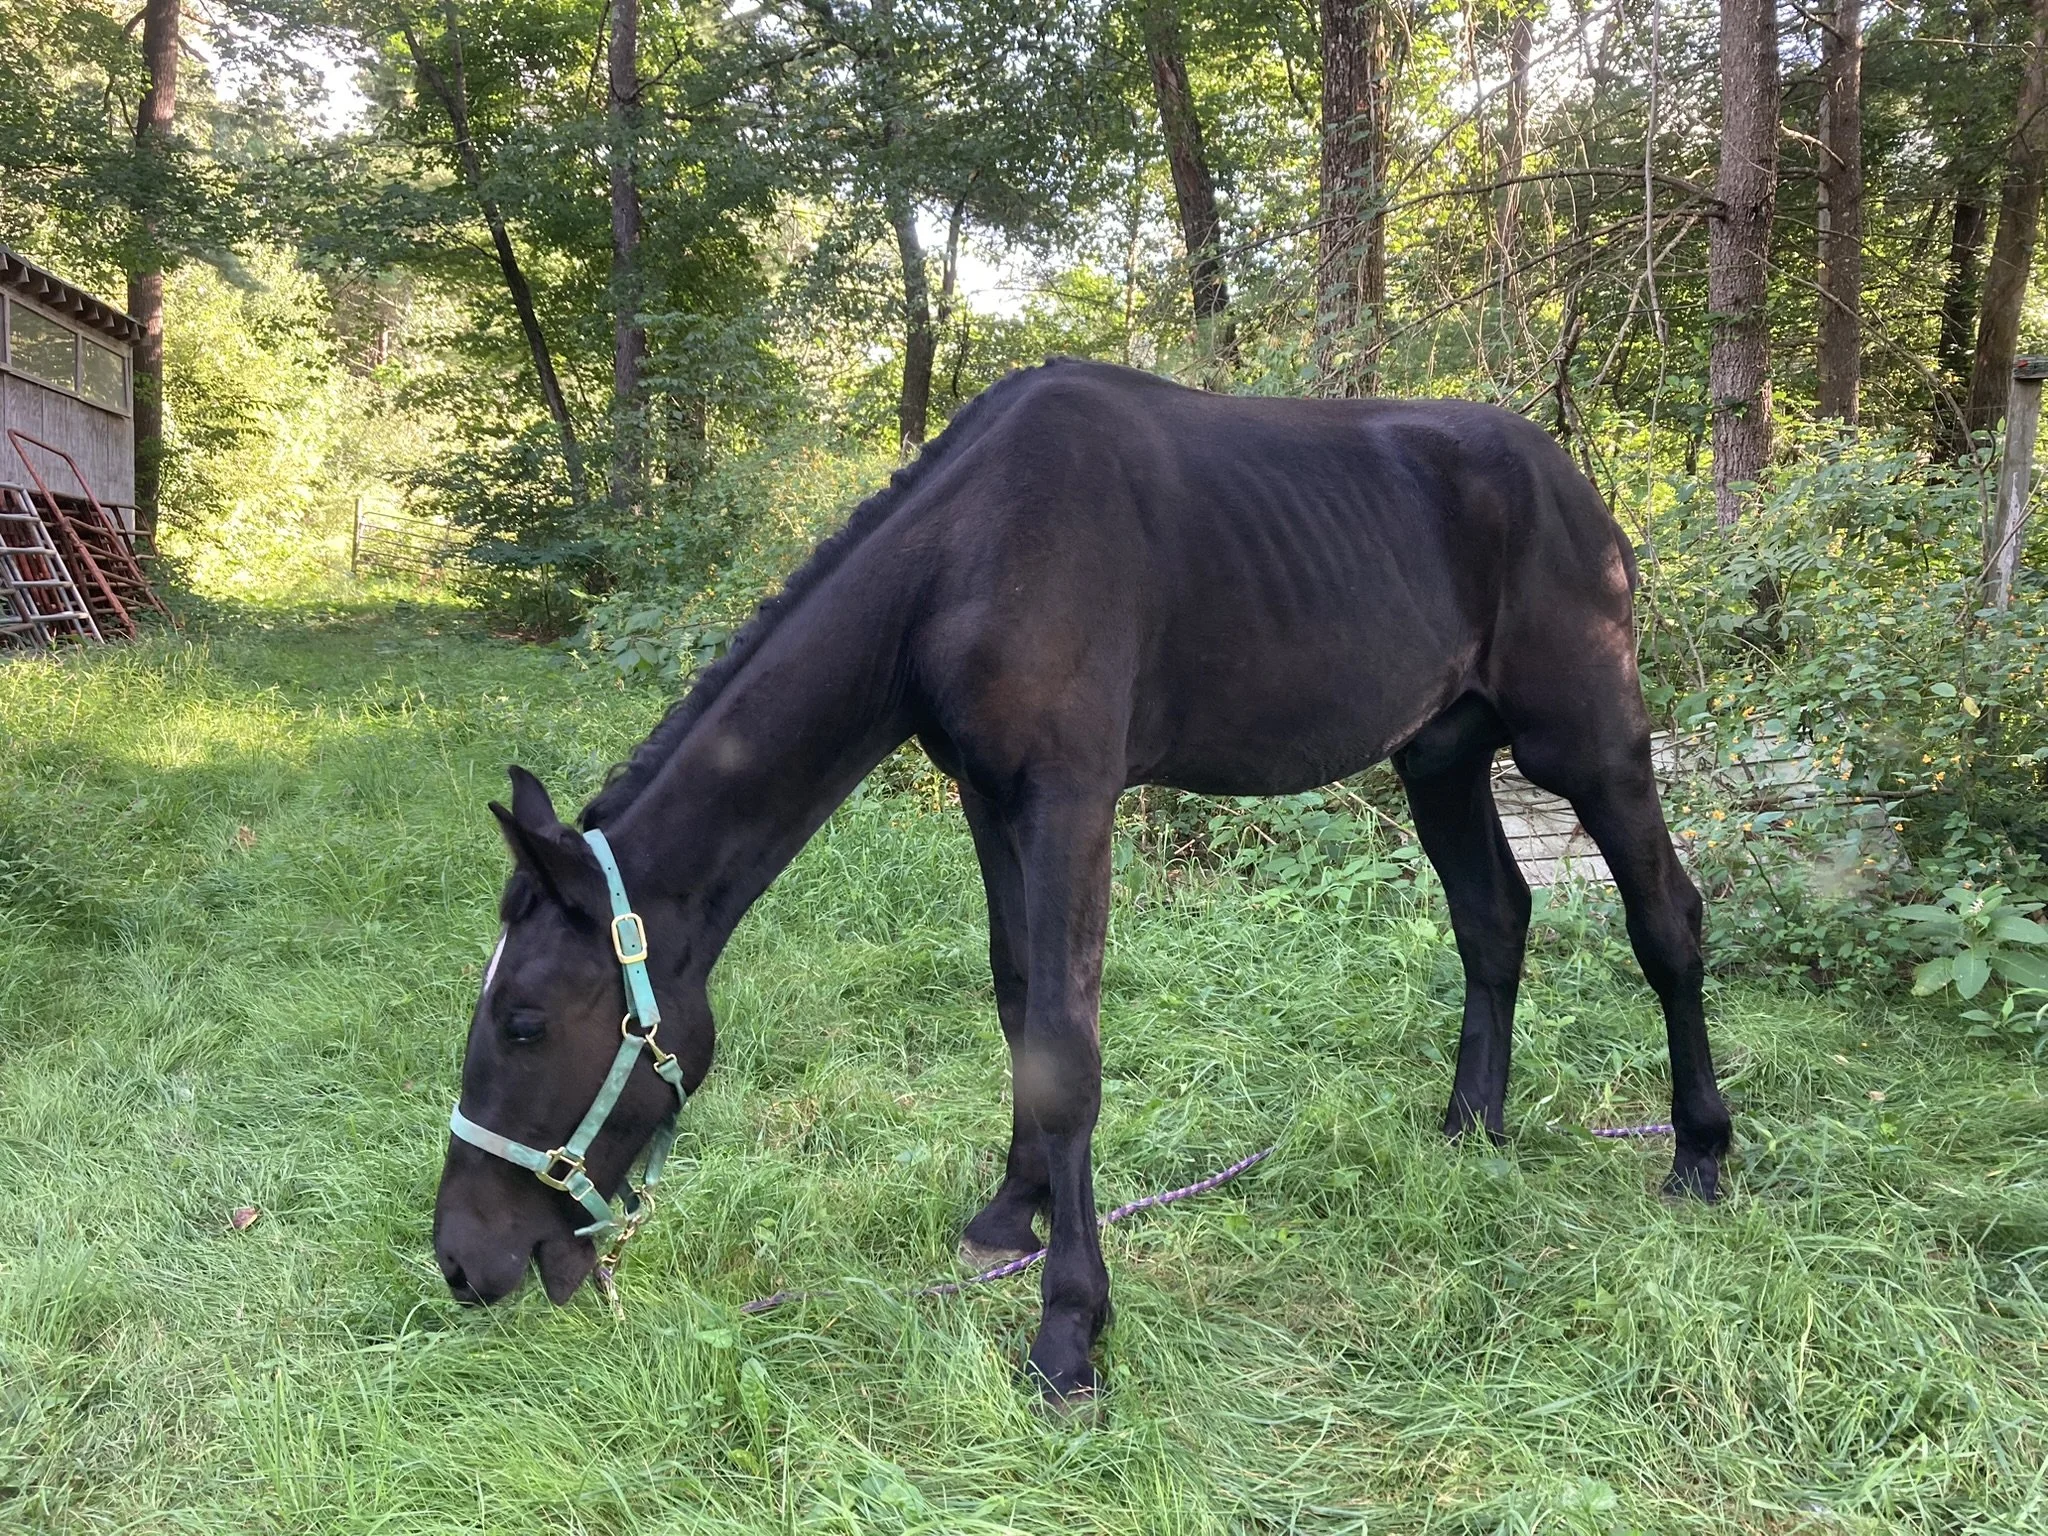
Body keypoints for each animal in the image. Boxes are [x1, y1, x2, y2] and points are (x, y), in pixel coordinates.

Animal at [432, 358, 1730, 1403]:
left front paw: (1068, 1333)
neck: (966, 556)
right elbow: (1017, 1001)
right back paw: (1471, 1131)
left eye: (526, 1021)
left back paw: (1698, 1157)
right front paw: (1011, 1213)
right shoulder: (987, 796)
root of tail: (1572, 483)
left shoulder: (1067, 797)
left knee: (1664, 918)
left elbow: (1064, 1043)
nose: (460, 1261)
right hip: (1443, 752)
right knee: (1490, 917)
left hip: (1585, 738)